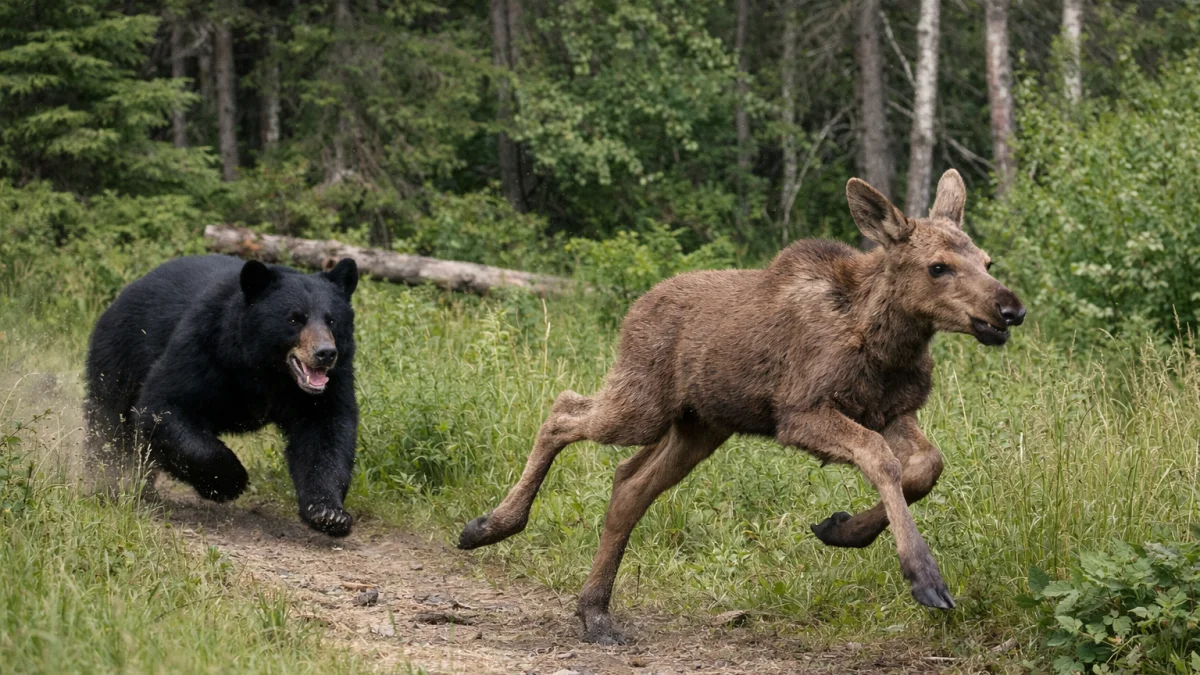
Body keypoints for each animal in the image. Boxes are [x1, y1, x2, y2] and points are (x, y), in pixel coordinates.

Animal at [85, 254, 360, 536]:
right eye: (295, 319)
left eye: (331, 320)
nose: (325, 353)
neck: (267, 372)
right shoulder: (206, 345)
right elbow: (165, 404)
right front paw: (230, 480)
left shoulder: (328, 385)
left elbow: (325, 433)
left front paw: (328, 513)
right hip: (120, 358)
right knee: (111, 424)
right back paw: (112, 481)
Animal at [457, 169, 1026, 644]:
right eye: (938, 267)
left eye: (988, 262)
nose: (1009, 309)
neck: (888, 342)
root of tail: (633, 309)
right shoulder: (800, 412)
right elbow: (881, 460)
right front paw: (924, 577)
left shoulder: (892, 412)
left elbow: (927, 466)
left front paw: (841, 529)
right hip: (641, 405)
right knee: (563, 410)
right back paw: (489, 527)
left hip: (699, 428)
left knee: (628, 484)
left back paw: (594, 611)